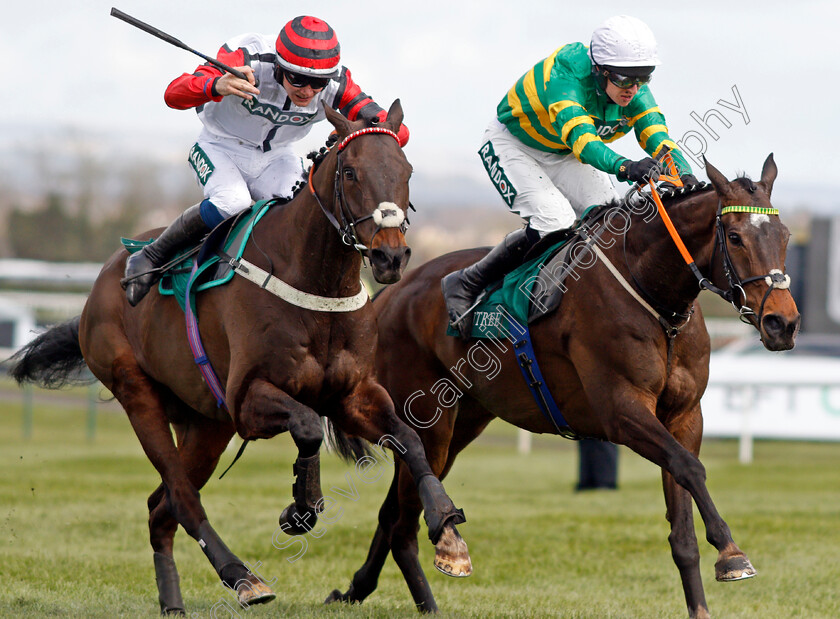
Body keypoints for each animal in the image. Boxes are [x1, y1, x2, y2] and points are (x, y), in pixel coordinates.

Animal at [8, 100, 466, 616]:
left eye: (407, 171)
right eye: (351, 172)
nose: (392, 257)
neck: (315, 283)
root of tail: (104, 278)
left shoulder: (353, 395)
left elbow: (409, 439)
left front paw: (447, 531)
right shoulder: (248, 399)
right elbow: (308, 425)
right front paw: (300, 510)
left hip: (206, 423)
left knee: (160, 508)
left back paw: (173, 601)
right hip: (137, 392)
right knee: (181, 498)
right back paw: (242, 577)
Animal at [330, 156, 800, 619]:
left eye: (785, 236)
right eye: (735, 237)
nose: (783, 322)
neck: (652, 294)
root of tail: (392, 295)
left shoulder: (684, 417)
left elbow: (683, 516)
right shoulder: (622, 412)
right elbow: (691, 468)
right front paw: (731, 551)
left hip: (462, 424)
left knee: (393, 513)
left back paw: (359, 588)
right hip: (432, 423)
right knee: (403, 522)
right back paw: (440, 567)